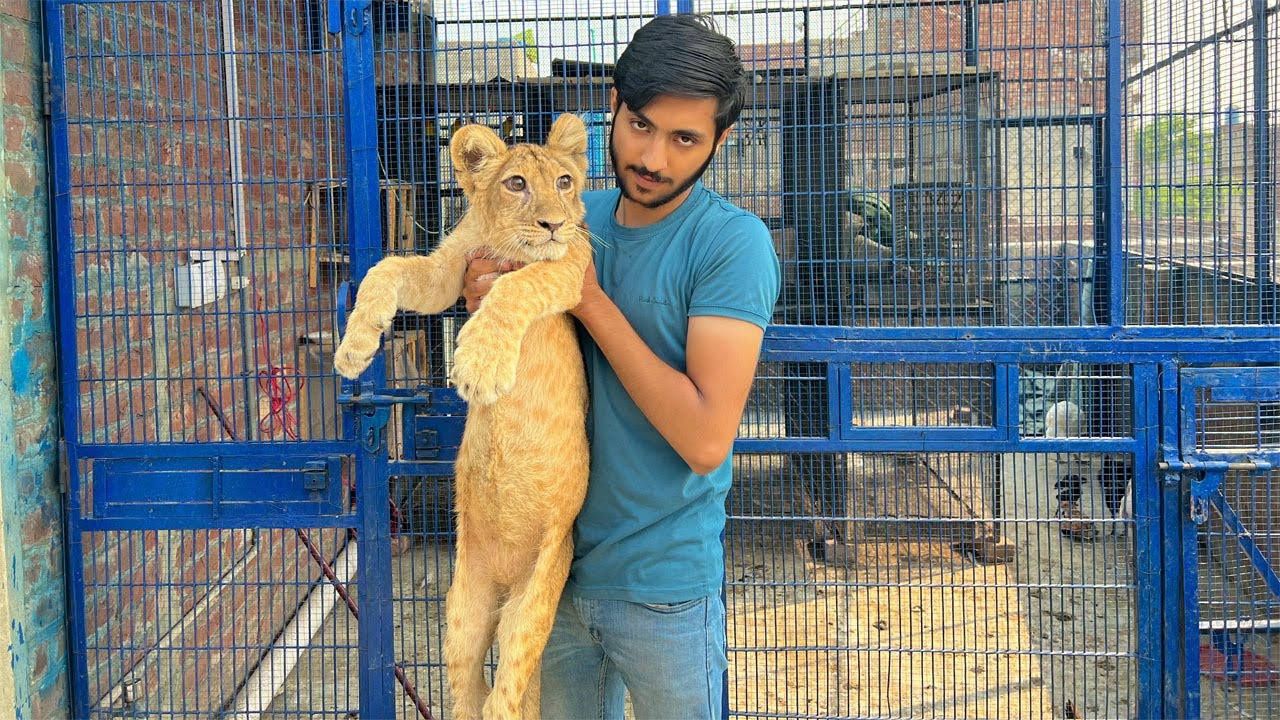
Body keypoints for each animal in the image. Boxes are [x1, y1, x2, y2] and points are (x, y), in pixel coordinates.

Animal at [333, 113, 591, 720]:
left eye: (565, 181)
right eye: (516, 183)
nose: (553, 222)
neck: (502, 239)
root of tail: (505, 579)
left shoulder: (572, 265)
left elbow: (518, 283)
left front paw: (478, 364)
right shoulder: (450, 268)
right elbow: (388, 269)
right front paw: (353, 350)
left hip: (532, 606)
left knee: (507, 695)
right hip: (463, 613)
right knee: (469, 689)